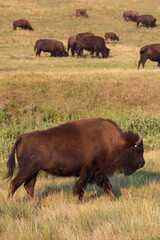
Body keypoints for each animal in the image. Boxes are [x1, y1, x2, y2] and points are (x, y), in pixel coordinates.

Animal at [5, 118, 145, 202]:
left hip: (34, 172)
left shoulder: (98, 173)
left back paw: (33, 202)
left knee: (29, 186)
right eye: (137, 150)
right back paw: (10, 202)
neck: (115, 142)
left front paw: (114, 198)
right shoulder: (89, 171)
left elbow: (107, 185)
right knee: (14, 183)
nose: (142, 163)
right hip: (27, 170)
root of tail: (22, 137)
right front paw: (79, 202)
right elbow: (81, 187)